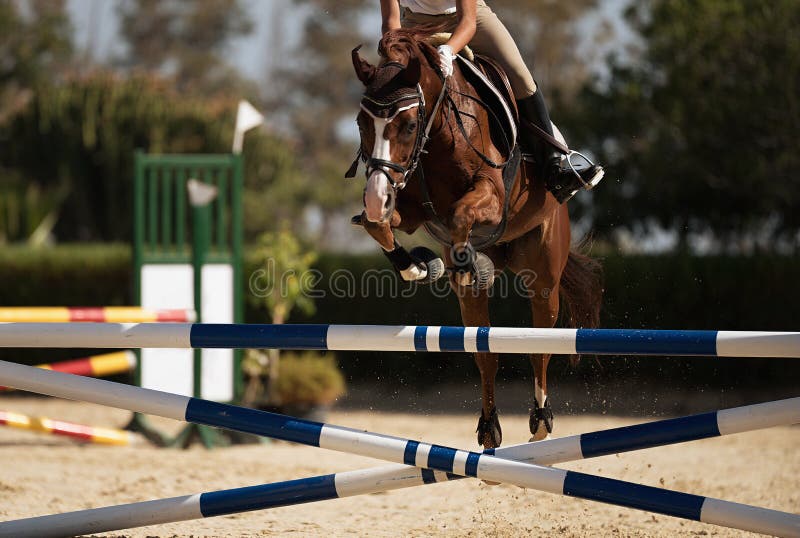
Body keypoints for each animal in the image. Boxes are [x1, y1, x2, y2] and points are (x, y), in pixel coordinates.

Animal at [348, 29, 600, 448]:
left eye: (409, 124)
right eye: (360, 123)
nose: (376, 194)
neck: (438, 135)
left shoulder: (493, 196)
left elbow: (461, 214)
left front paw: (467, 263)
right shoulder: (411, 210)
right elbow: (376, 224)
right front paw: (419, 265)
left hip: (544, 274)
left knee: (540, 343)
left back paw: (541, 420)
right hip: (480, 297)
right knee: (485, 352)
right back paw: (489, 426)